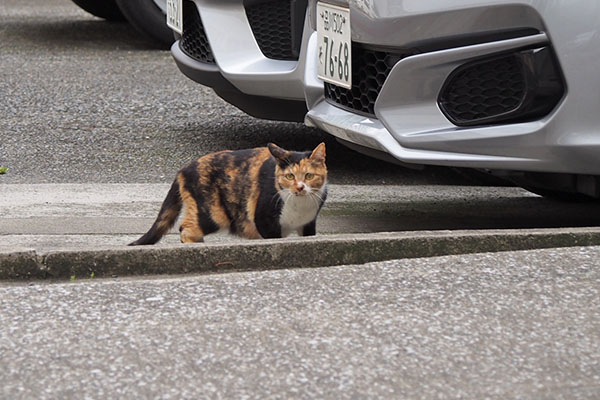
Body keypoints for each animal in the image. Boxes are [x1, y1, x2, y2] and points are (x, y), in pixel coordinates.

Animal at [130, 142, 328, 245]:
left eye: (309, 175)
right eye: (289, 176)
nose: (299, 187)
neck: (300, 206)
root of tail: (184, 168)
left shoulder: (308, 224)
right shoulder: (265, 221)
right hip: (214, 214)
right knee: (185, 228)